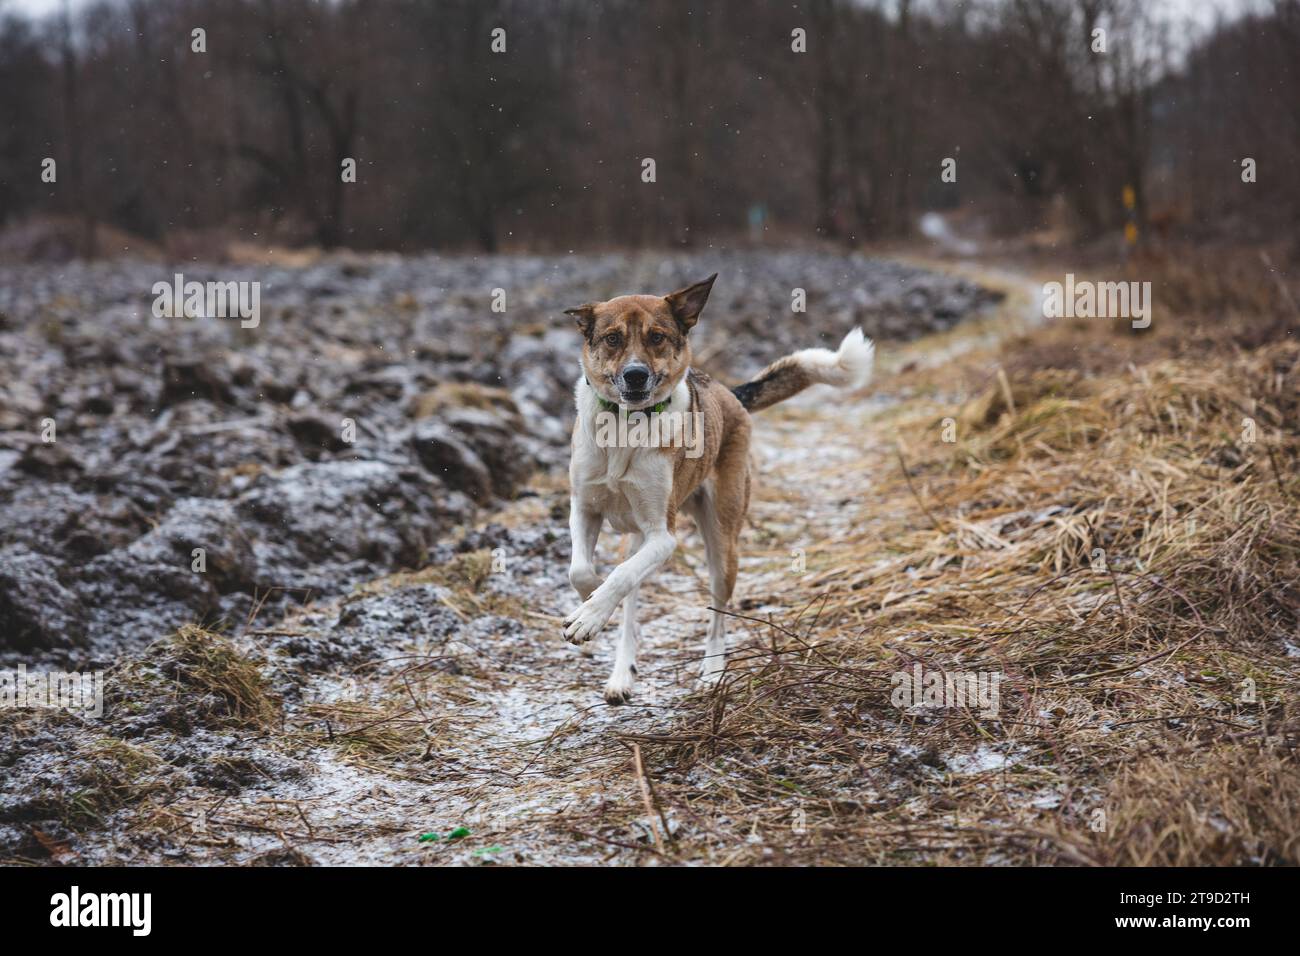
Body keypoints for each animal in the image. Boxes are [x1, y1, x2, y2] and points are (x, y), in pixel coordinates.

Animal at [561, 273, 873, 707]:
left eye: (657, 337)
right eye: (612, 338)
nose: (636, 375)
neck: (626, 426)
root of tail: (730, 393)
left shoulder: (663, 537)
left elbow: (619, 577)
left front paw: (590, 614)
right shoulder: (584, 509)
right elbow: (582, 571)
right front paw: (589, 605)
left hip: (723, 545)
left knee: (717, 614)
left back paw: (711, 673)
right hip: (638, 539)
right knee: (631, 594)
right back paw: (622, 675)